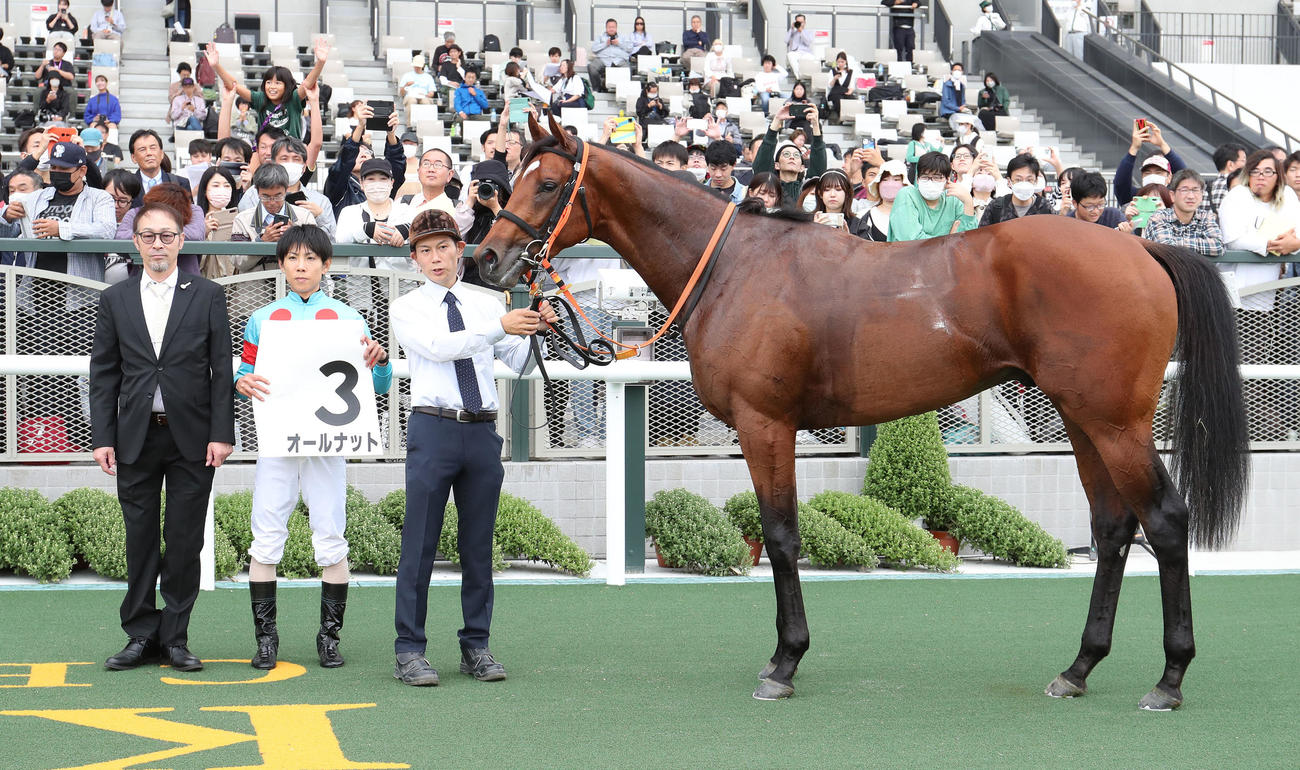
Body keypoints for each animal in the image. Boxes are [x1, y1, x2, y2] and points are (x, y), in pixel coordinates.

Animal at [476, 113, 1249, 710]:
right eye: (510, 176)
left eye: (549, 183)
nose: (486, 259)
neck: (734, 266)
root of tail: (1143, 249)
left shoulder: (765, 424)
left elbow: (781, 536)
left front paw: (785, 662)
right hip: (1084, 420)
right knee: (1114, 530)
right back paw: (1079, 668)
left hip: (1115, 424)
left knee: (1165, 522)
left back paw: (1170, 678)